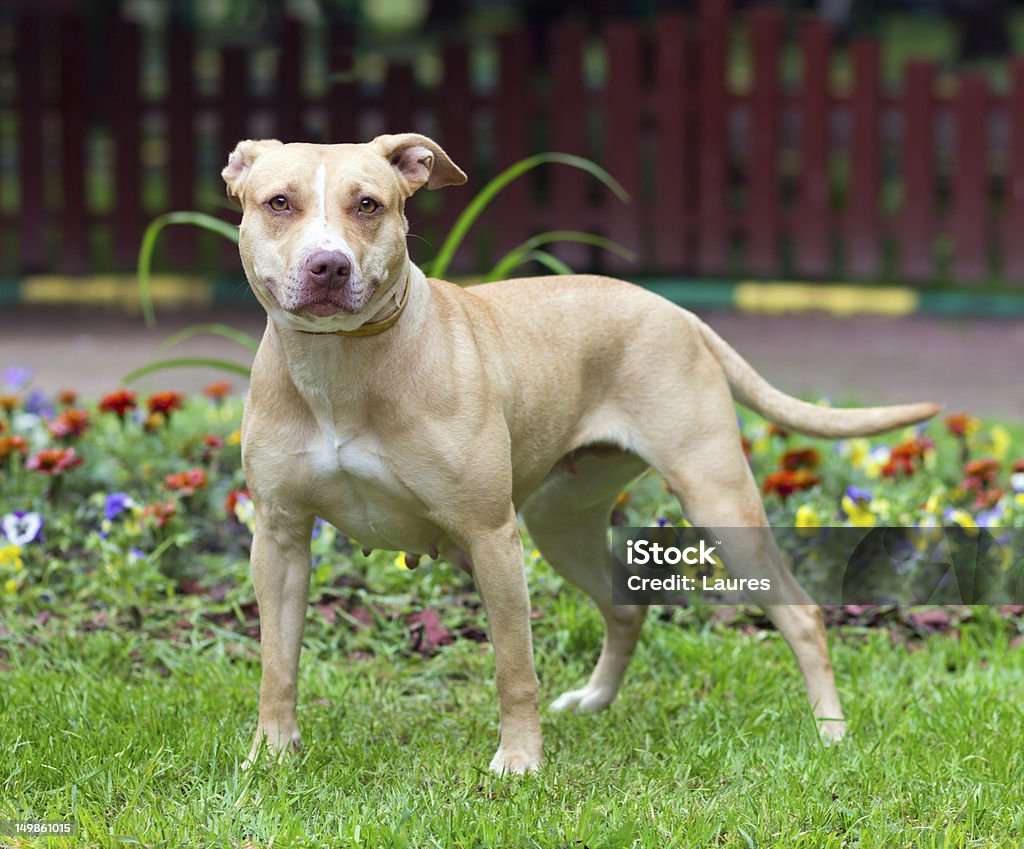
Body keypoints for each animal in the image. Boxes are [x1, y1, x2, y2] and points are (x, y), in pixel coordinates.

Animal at [220, 132, 937, 774]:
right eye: (279, 202)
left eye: (368, 204)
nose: (329, 264)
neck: (340, 367)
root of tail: (675, 309)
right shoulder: (280, 540)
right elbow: (277, 665)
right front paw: (270, 756)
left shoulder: (491, 536)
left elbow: (514, 667)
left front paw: (520, 759)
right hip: (561, 521)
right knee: (624, 604)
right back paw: (596, 700)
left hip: (719, 501)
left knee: (802, 614)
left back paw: (830, 729)